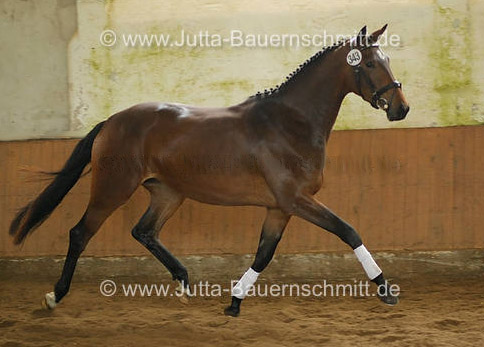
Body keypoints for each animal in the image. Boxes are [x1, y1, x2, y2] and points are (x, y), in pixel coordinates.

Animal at [8, 25, 408, 318]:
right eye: (370, 64)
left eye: (387, 59)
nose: (400, 108)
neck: (289, 122)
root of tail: (112, 120)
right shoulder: (296, 200)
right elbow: (349, 231)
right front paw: (386, 290)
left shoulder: (279, 208)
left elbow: (263, 255)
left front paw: (234, 302)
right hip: (112, 189)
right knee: (80, 233)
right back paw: (55, 296)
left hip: (168, 193)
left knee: (144, 231)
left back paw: (184, 282)